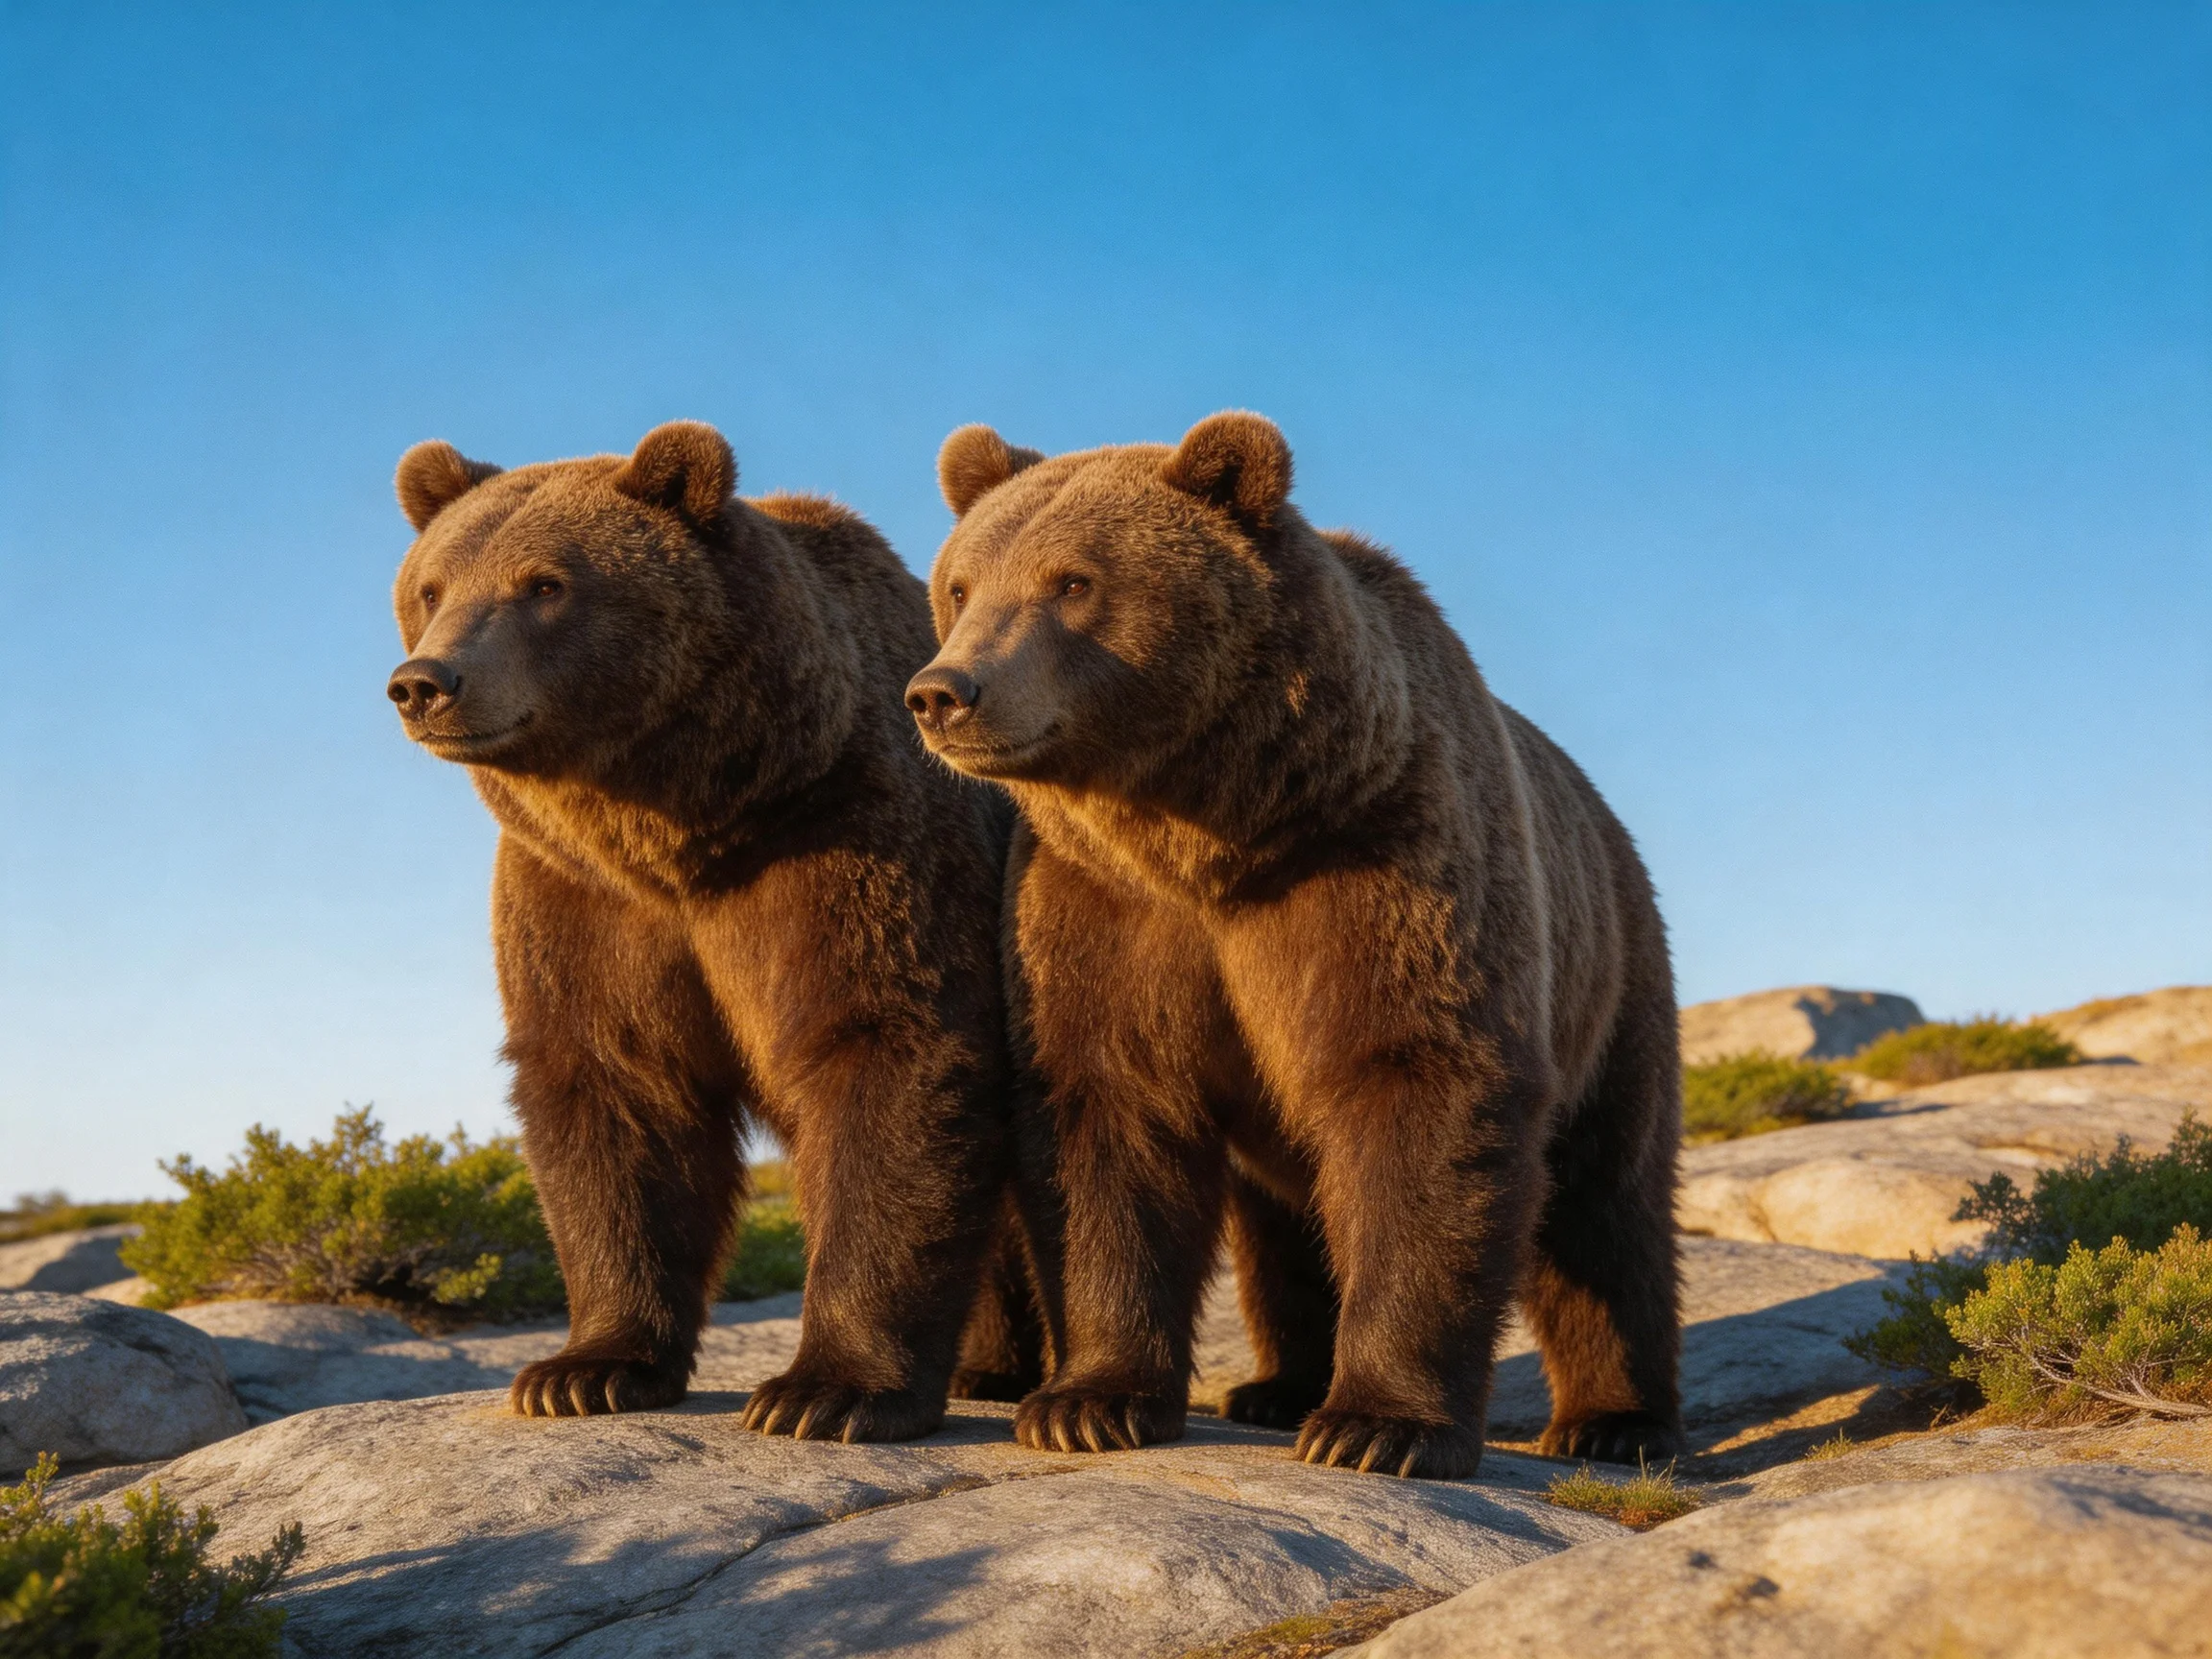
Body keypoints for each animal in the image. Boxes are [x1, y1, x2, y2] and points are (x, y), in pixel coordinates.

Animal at [386, 420, 1028, 1439]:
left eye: (544, 585)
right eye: (432, 587)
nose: (424, 683)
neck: (684, 824)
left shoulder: (853, 845)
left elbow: (890, 1055)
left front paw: (826, 1390)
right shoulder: (582, 899)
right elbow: (615, 1090)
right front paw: (584, 1369)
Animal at [902, 413, 1683, 1478]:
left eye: (1072, 582)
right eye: (960, 585)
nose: (944, 692)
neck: (1215, 832)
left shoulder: (1383, 862)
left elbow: (1420, 1093)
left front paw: (1380, 1425)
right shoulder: (1099, 910)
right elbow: (1105, 1117)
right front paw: (1087, 1402)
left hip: (1612, 976)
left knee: (1607, 1204)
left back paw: (1613, 1419)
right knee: (1285, 1221)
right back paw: (1276, 1387)